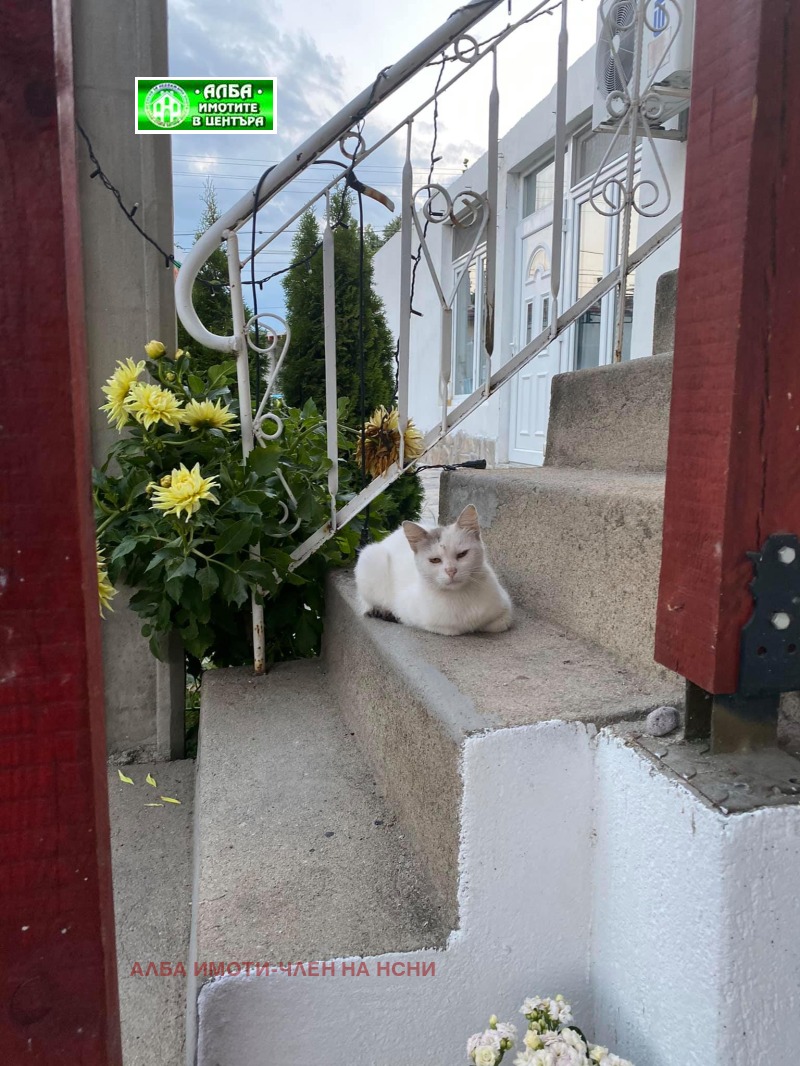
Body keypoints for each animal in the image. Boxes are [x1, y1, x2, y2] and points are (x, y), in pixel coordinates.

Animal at [356, 503, 514, 635]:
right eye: (435, 560)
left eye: (462, 554)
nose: (451, 571)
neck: (460, 597)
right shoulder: (412, 613)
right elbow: (450, 629)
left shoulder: (506, 610)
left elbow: (498, 624)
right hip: (371, 557)